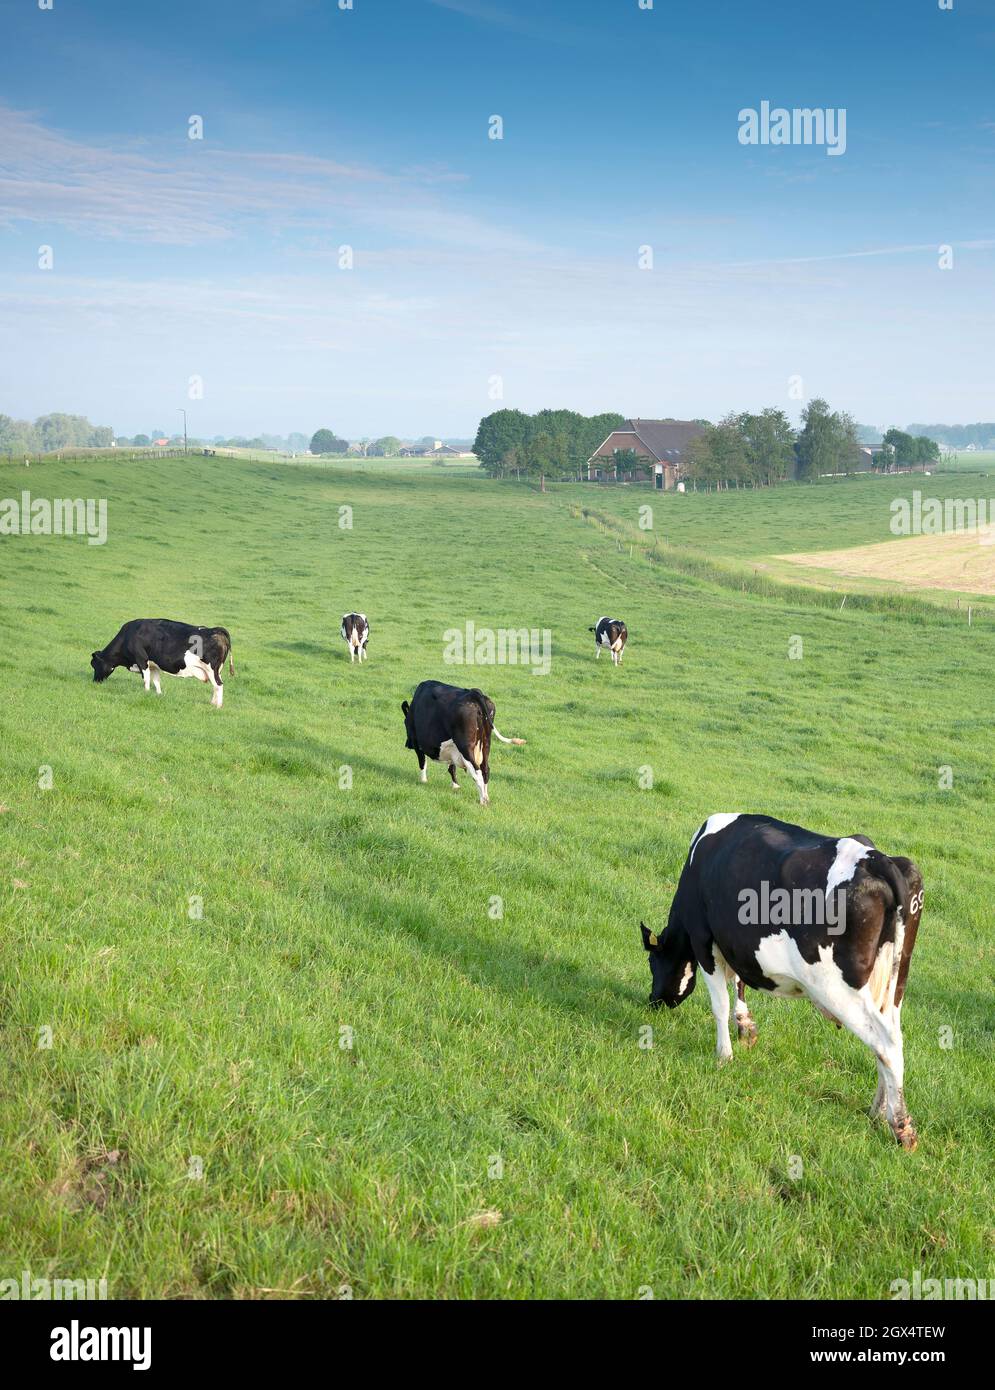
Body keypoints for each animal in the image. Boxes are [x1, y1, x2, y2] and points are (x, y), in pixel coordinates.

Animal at [90, 619, 234, 709]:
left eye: (94, 665)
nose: (95, 681)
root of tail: (216, 630)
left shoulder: (142, 660)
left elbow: (146, 679)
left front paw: (146, 693)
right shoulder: (153, 665)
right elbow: (156, 681)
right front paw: (158, 695)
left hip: (212, 669)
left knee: (218, 685)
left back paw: (218, 706)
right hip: (216, 670)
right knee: (215, 686)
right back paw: (212, 703)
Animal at [641, 813, 924, 1149]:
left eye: (651, 962)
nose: (653, 1000)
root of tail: (878, 859)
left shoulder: (703, 938)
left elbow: (719, 1003)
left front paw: (724, 1055)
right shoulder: (735, 942)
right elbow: (739, 981)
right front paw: (745, 1026)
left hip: (838, 987)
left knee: (887, 1043)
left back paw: (900, 1126)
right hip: (893, 985)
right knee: (887, 1040)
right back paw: (878, 1110)